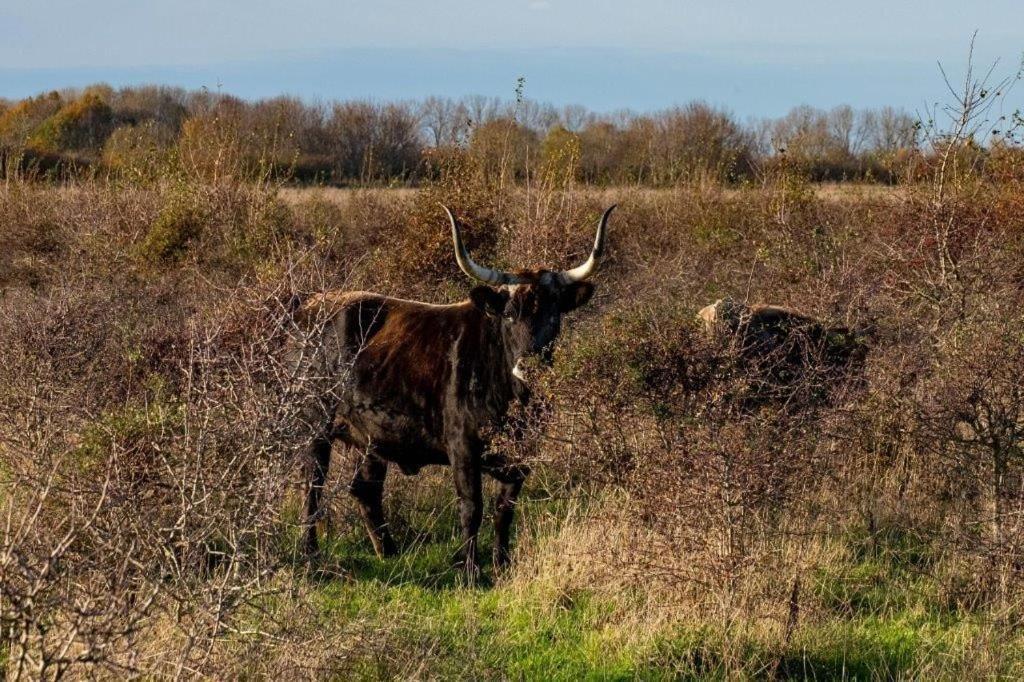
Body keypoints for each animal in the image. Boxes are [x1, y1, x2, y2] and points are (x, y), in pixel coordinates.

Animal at [292, 202, 618, 573]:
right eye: (509, 314)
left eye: (554, 315)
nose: (529, 367)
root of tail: (311, 305)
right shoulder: (463, 448)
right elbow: (471, 508)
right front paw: (471, 571)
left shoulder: (522, 457)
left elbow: (504, 510)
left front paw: (501, 564)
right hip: (314, 427)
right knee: (312, 485)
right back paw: (310, 554)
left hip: (373, 437)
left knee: (365, 488)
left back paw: (388, 550)